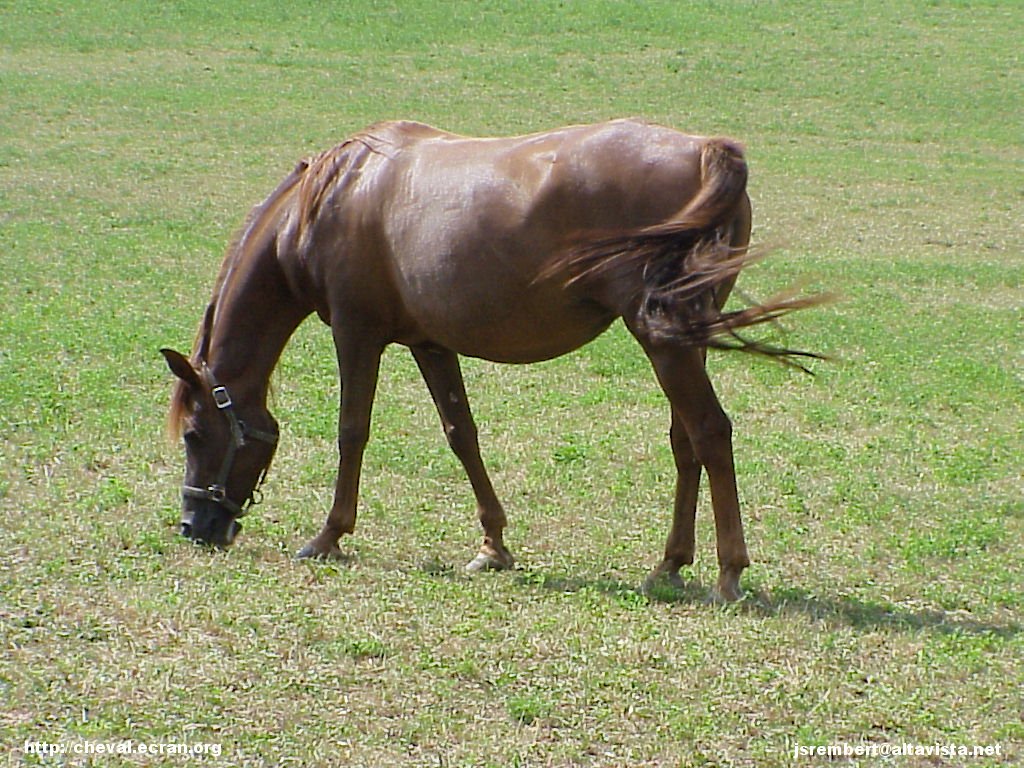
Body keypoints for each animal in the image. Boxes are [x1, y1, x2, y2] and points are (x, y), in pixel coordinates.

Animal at [159, 118, 815, 602]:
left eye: (194, 434)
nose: (195, 526)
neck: (332, 199)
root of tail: (705, 151)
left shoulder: (356, 334)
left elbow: (352, 432)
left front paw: (329, 536)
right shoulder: (429, 343)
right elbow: (462, 434)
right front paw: (493, 546)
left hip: (664, 340)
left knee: (710, 432)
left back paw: (728, 573)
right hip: (679, 339)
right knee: (685, 440)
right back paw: (671, 564)